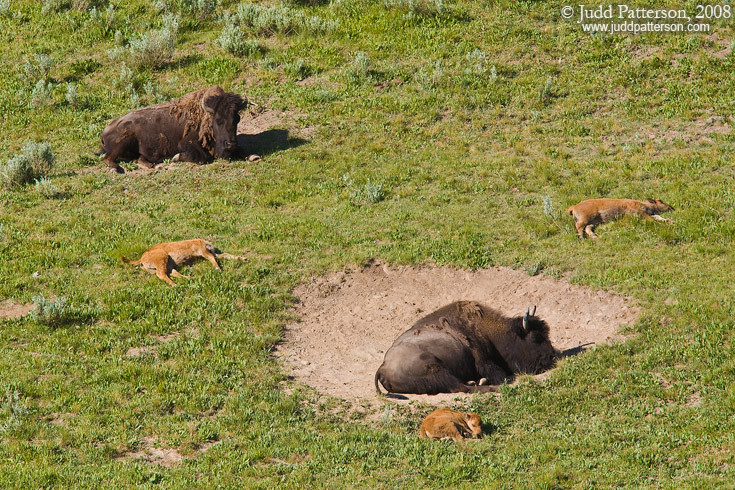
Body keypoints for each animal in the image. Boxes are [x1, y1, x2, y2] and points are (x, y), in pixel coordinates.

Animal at [100, 86, 247, 174]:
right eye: (218, 120)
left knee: (140, 159)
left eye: (237, 119)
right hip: (122, 143)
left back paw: (157, 166)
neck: (205, 115)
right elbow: (202, 157)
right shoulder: (186, 144)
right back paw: (116, 169)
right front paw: (176, 157)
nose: (231, 144)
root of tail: (105, 130)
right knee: (107, 158)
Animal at [376, 300, 560, 396]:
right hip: (436, 369)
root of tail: (383, 367)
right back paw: (490, 385)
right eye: (536, 338)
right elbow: (498, 374)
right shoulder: (483, 361)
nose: (552, 356)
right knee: (460, 387)